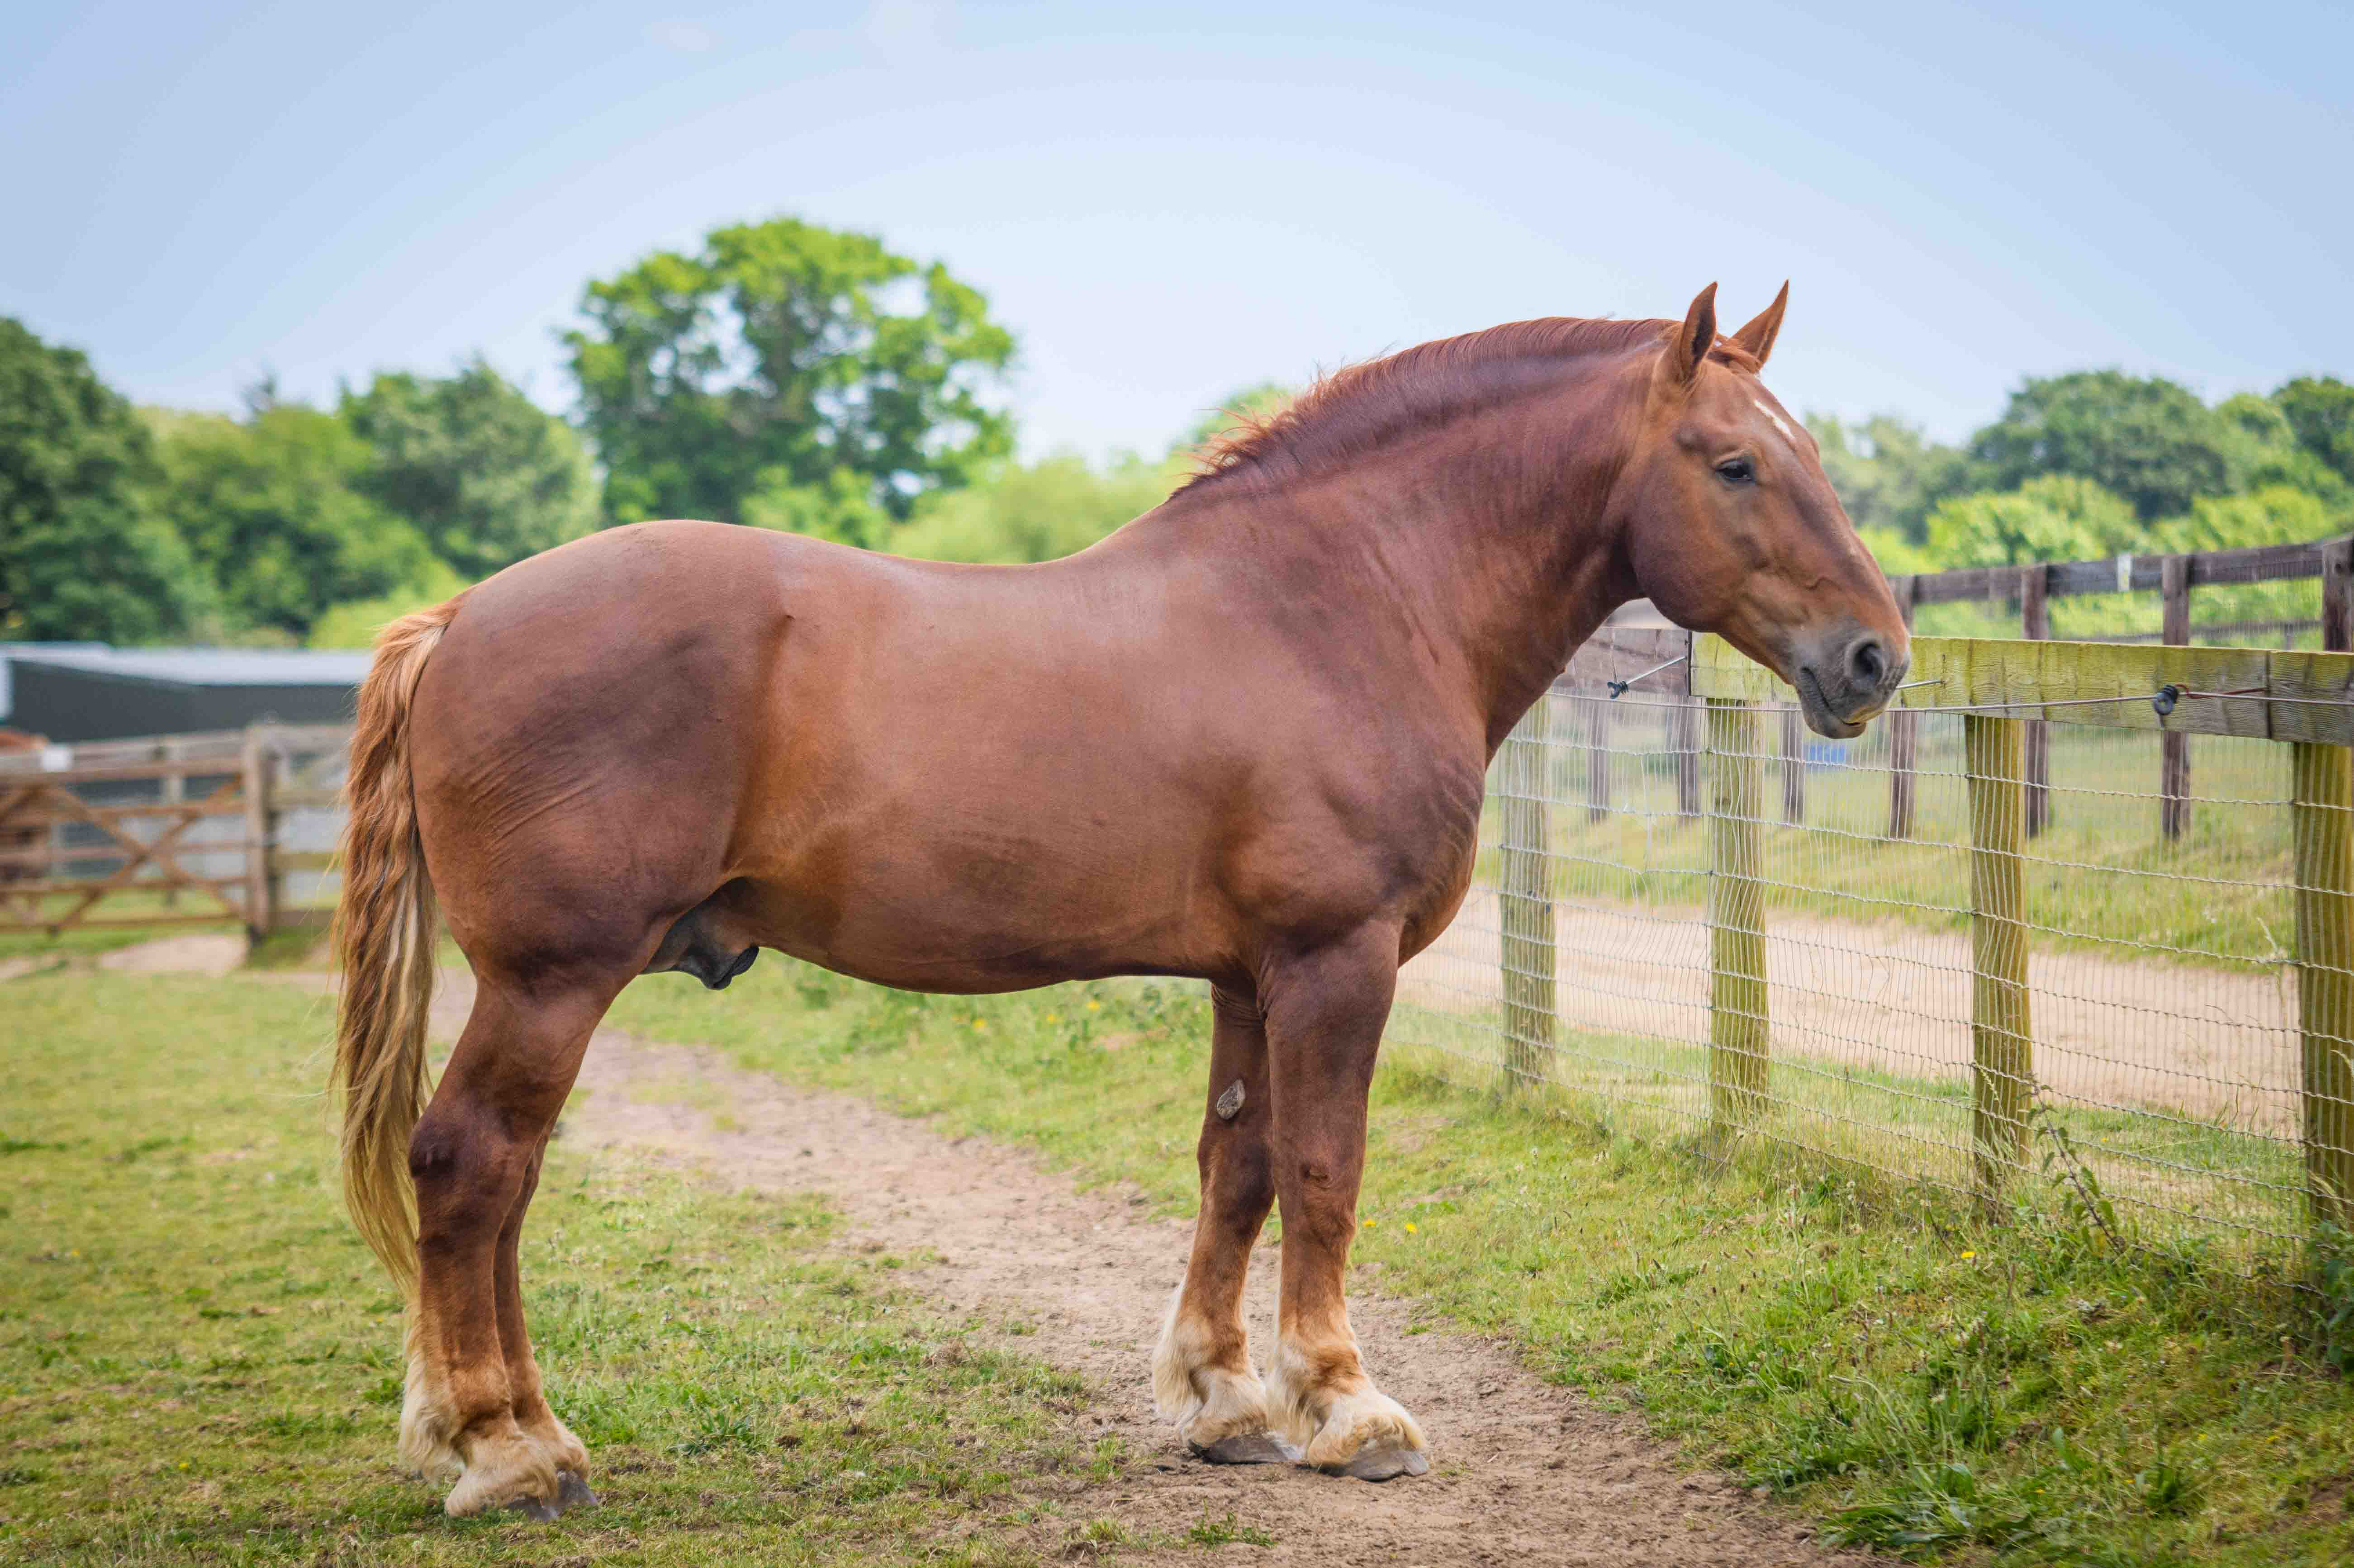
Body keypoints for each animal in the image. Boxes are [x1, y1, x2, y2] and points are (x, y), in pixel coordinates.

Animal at [330, 283, 1909, 1517]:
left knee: (508, 1184)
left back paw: (527, 1435)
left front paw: (1227, 1403)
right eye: (1732, 465)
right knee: (471, 1169)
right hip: (554, 978)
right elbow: (1326, 1173)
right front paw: (1347, 1407)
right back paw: (505, 1452)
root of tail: (458, 618)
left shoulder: (1249, 973)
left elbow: (1239, 1168)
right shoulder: (1336, 962)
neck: (1340, 600)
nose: (1873, 658)